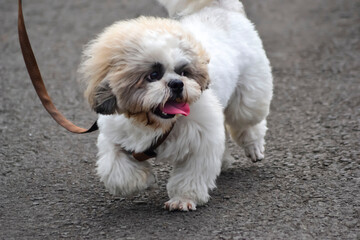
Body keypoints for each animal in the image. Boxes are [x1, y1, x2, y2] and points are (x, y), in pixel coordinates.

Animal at [77, 0, 272, 211]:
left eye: (183, 72)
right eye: (153, 75)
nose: (177, 84)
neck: (154, 123)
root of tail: (219, 7)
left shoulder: (202, 138)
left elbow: (191, 174)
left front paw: (183, 199)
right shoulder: (115, 135)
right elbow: (116, 170)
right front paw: (143, 180)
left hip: (248, 94)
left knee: (247, 120)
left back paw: (253, 145)